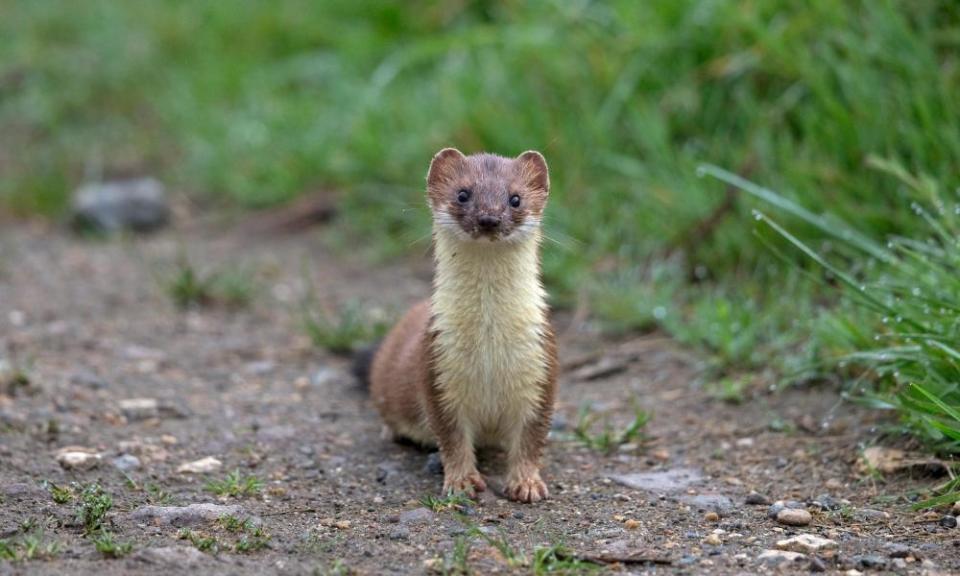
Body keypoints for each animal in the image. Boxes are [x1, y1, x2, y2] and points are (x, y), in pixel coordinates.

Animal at [368, 148, 564, 504]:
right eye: (463, 193)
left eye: (515, 198)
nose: (488, 218)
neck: (489, 340)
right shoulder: (437, 369)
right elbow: (452, 437)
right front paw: (461, 483)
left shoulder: (542, 366)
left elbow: (532, 437)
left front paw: (526, 484)